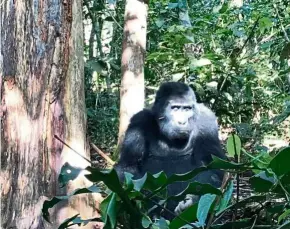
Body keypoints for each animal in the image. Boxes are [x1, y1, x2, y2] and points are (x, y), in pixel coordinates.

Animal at [114, 82, 225, 218]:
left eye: (187, 109)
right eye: (175, 108)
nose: (182, 122)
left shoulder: (207, 121)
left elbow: (217, 170)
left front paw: (193, 199)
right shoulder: (138, 122)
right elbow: (128, 167)